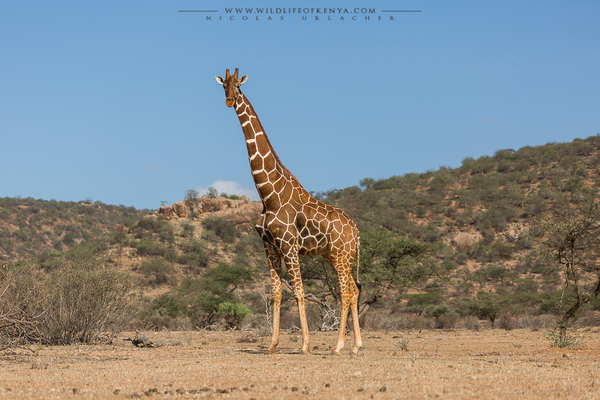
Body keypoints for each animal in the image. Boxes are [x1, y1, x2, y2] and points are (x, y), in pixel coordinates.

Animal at [217, 67, 360, 354]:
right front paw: (272, 344)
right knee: (354, 288)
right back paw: (357, 345)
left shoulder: (289, 245)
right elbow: (276, 293)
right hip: (334, 256)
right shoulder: (270, 246)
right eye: (223, 85)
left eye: (238, 86)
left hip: (342, 255)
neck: (268, 194)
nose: (229, 101)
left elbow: (299, 291)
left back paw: (339, 346)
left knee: (346, 291)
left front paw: (305, 345)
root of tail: (358, 232)